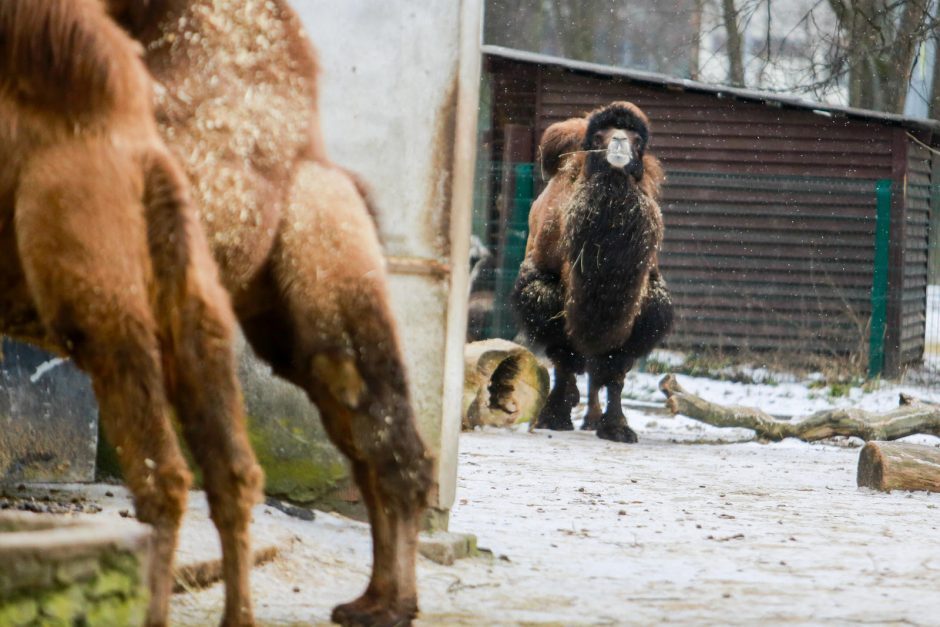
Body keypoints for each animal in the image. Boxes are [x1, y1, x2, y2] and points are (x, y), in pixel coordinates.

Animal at [103, 2, 436, 624]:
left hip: (333, 270)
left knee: (388, 440)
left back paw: (391, 606)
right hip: (289, 326)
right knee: (361, 446)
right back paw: (369, 598)